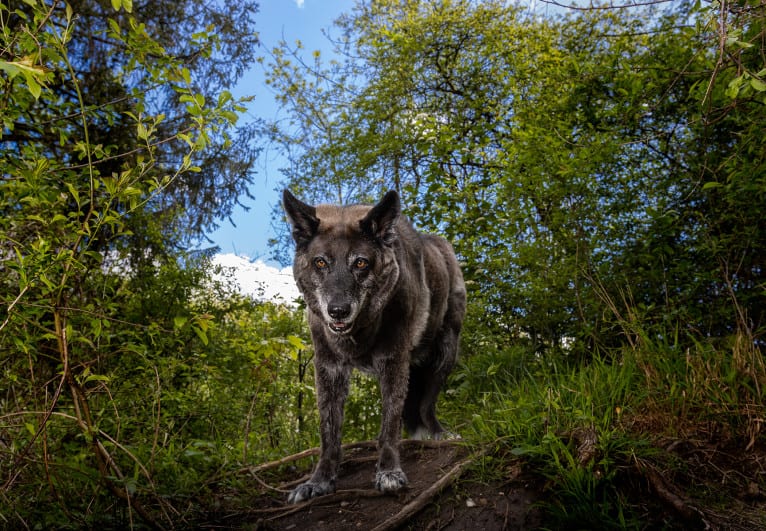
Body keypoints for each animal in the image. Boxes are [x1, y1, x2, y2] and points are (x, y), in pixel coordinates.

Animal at [284, 190, 468, 502]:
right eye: (320, 262)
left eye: (360, 263)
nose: (338, 311)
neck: (358, 332)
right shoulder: (328, 368)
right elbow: (328, 433)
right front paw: (319, 481)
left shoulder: (393, 361)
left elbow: (389, 425)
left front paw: (389, 472)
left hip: (445, 352)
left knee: (425, 405)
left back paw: (439, 434)